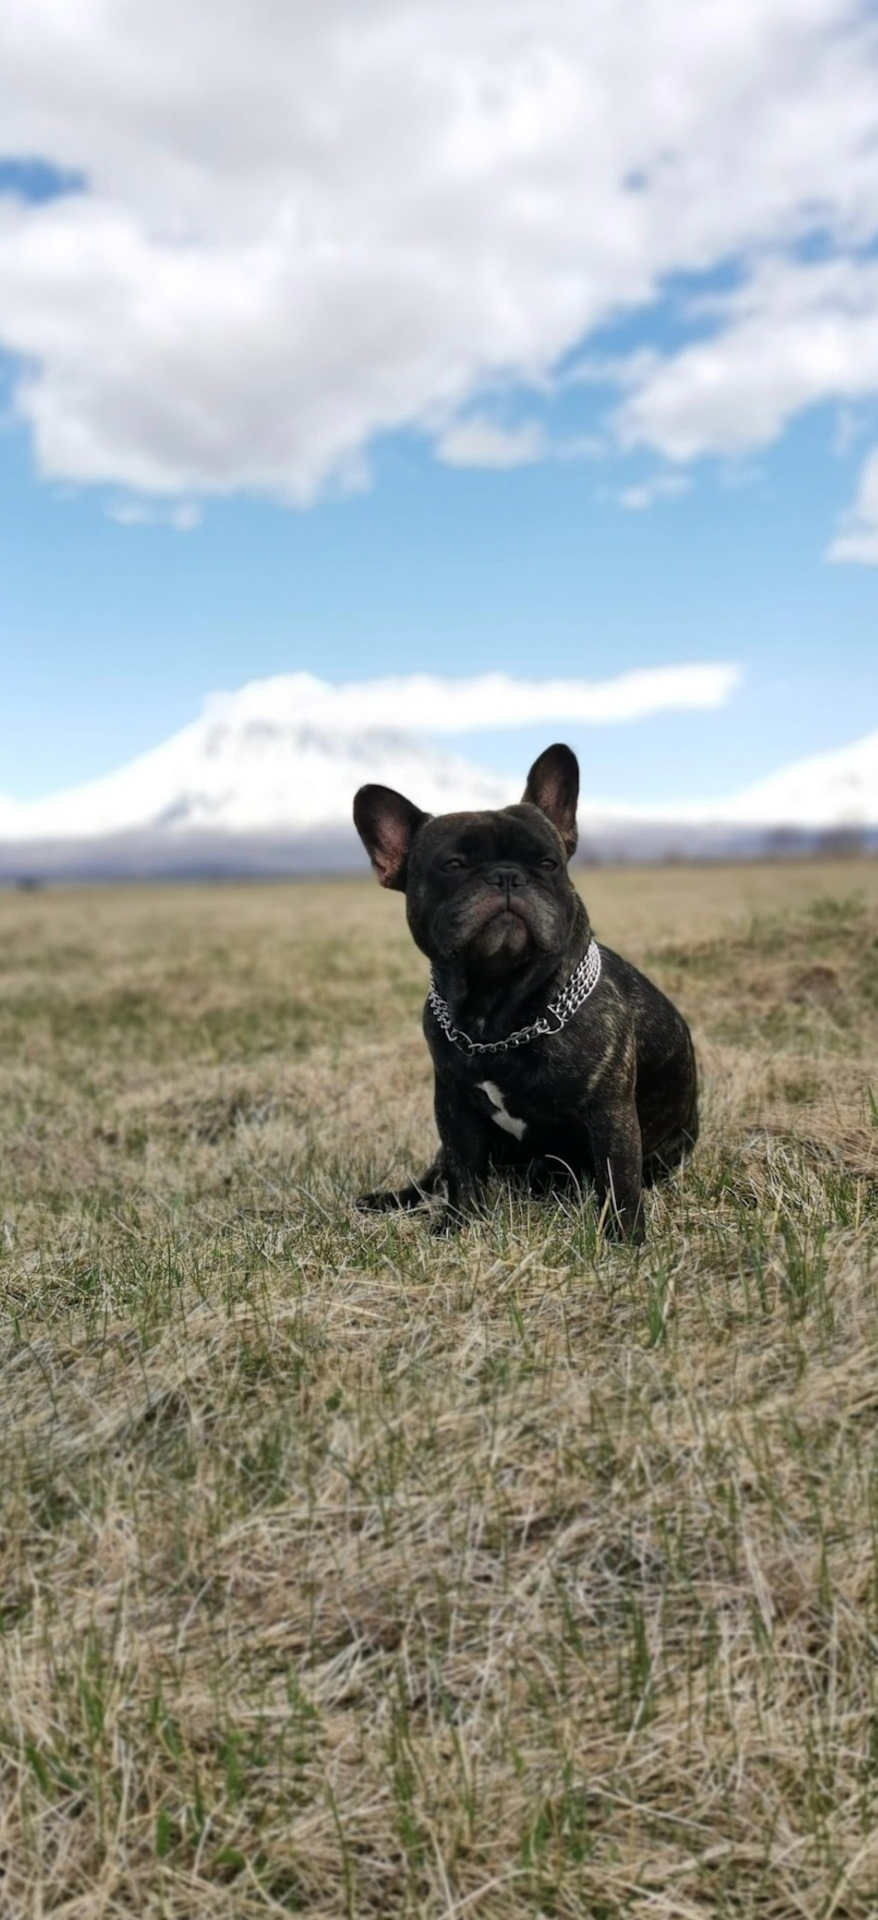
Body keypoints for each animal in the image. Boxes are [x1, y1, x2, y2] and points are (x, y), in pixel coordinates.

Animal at [351, 733, 695, 1244]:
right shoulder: (453, 1107)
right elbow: (463, 1172)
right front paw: (457, 1227)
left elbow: (620, 1179)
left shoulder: (609, 1112)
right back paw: (390, 1201)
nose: (507, 875)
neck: (496, 1011)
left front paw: (624, 1239)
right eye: (454, 864)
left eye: (548, 863)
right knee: (435, 1176)